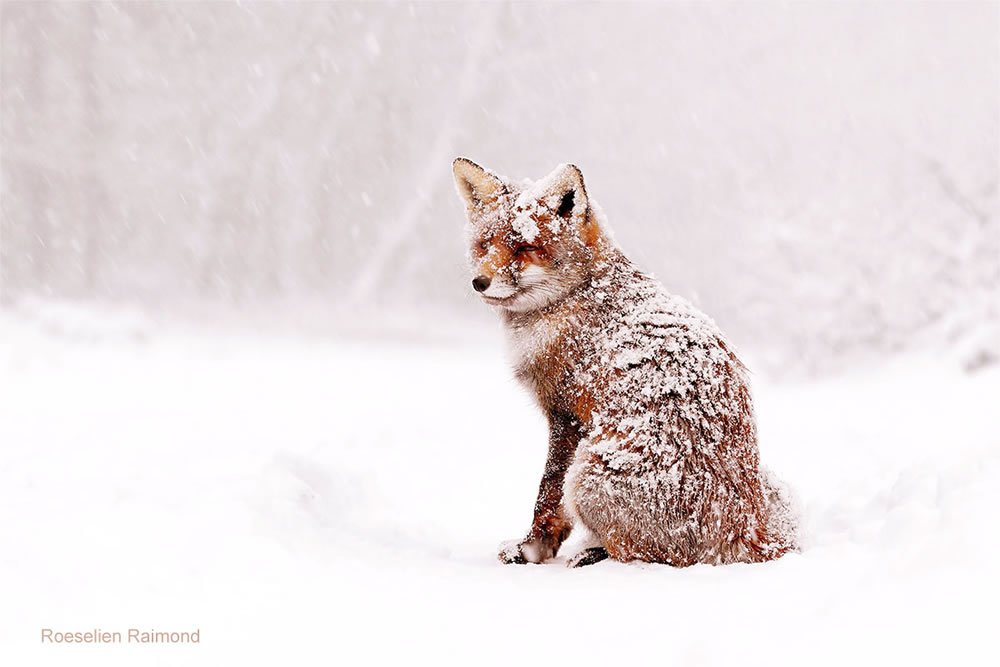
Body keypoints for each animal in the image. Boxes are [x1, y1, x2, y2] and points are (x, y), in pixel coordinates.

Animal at [454, 158, 796, 568]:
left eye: (525, 247)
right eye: (485, 245)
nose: (480, 282)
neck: (577, 295)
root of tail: (748, 532)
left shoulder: (566, 415)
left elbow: (547, 494)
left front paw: (533, 548)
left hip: (588, 471)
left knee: (643, 555)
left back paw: (592, 554)